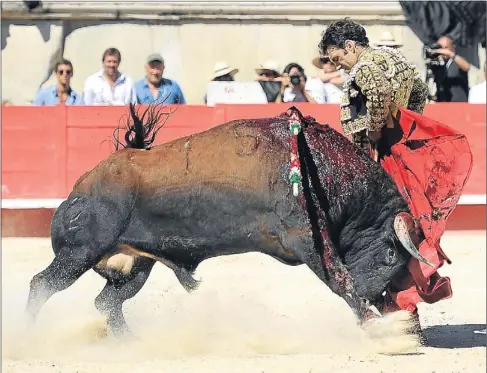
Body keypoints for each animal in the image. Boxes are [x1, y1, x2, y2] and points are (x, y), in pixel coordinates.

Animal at [24, 104, 432, 340]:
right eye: (393, 256)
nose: (383, 300)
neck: (321, 168)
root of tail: (78, 190)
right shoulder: (305, 237)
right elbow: (339, 278)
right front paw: (377, 326)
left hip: (136, 266)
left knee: (107, 302)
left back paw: (131, 343)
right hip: (79, 253)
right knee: (42, 284)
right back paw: (27, 337)